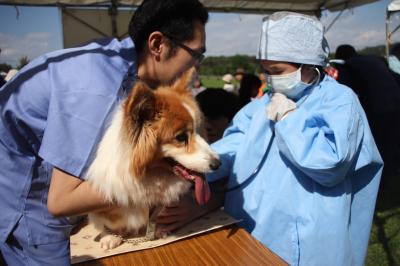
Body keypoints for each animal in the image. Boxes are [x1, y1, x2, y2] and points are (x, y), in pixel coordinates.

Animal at [85, 70, 220, 249]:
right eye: (181, 137)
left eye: (199, 130)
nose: (218, 164)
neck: (151, 175)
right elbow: (108, 222)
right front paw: (111, 236)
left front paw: (160, 229)